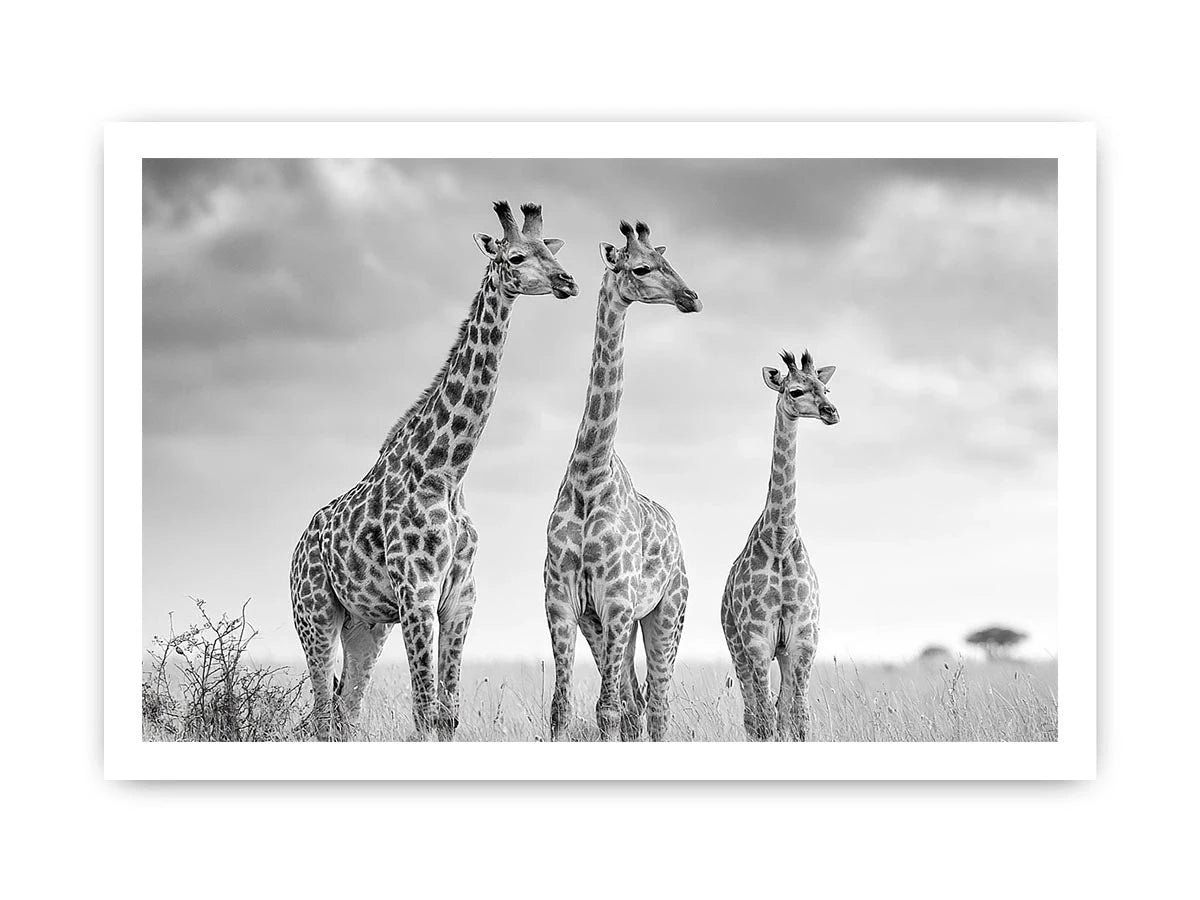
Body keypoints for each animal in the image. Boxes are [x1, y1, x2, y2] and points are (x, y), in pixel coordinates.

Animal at [290, 201, 578, 741]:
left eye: (551, 250)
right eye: (514, 256)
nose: (567, 281)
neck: (447, 471)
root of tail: (297, 550)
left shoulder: (459, 599)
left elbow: (448, 715)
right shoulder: (417, 597)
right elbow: (426, 712)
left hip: (366, 626)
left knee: (345, 712)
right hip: (315, 615)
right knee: (320, 714)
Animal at [544, 220, 701, 742]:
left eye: (668, 260)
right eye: (642, 268)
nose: (691, 297)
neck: (589, 476)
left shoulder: (615, 601)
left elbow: (607, 710)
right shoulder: (565, 603)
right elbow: (564, 710)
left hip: (666, 613)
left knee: (657, 705)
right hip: (613, 625)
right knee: (637, 704)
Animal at [721, 349, 839, 741]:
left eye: (825, 388)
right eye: (795, 391)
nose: (831, 412)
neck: (781, 539)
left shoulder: (802, 638)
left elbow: (797, 718)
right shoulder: (757, 639)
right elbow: (766, 720)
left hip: (782, 652)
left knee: (779, 709)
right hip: (737, 647)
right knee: (754, 716)